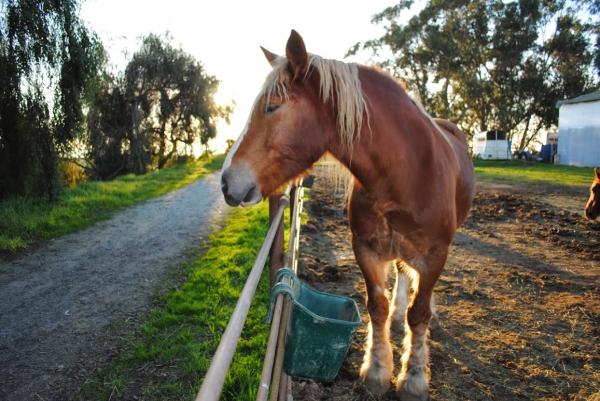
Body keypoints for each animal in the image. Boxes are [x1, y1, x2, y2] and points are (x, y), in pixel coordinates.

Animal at [218, 29, 476, 398]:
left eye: (273, 106)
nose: (227, 182)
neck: (407, 171)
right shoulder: (365, 248)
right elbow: (377, 307)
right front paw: (377, 372)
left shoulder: (435, 255)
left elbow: (419, 315)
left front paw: (413, 379)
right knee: (401, 276)